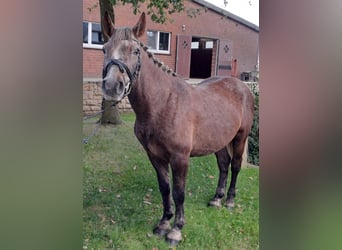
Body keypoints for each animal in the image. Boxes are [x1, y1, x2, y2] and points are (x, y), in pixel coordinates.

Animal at [101, 12, 254, 245]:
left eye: (135, 51)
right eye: (104, 49)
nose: (111, 87)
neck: (162, 103)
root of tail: (243, 87)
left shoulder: (180, 157)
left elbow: (179, 192)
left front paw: (176, 230)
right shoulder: (155, 156)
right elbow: (165, 189)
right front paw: (164, 223)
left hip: (240, 137)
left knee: (235, 165)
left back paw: (229, 200)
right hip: (219, 140)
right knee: (223, 165)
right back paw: (216, 199)